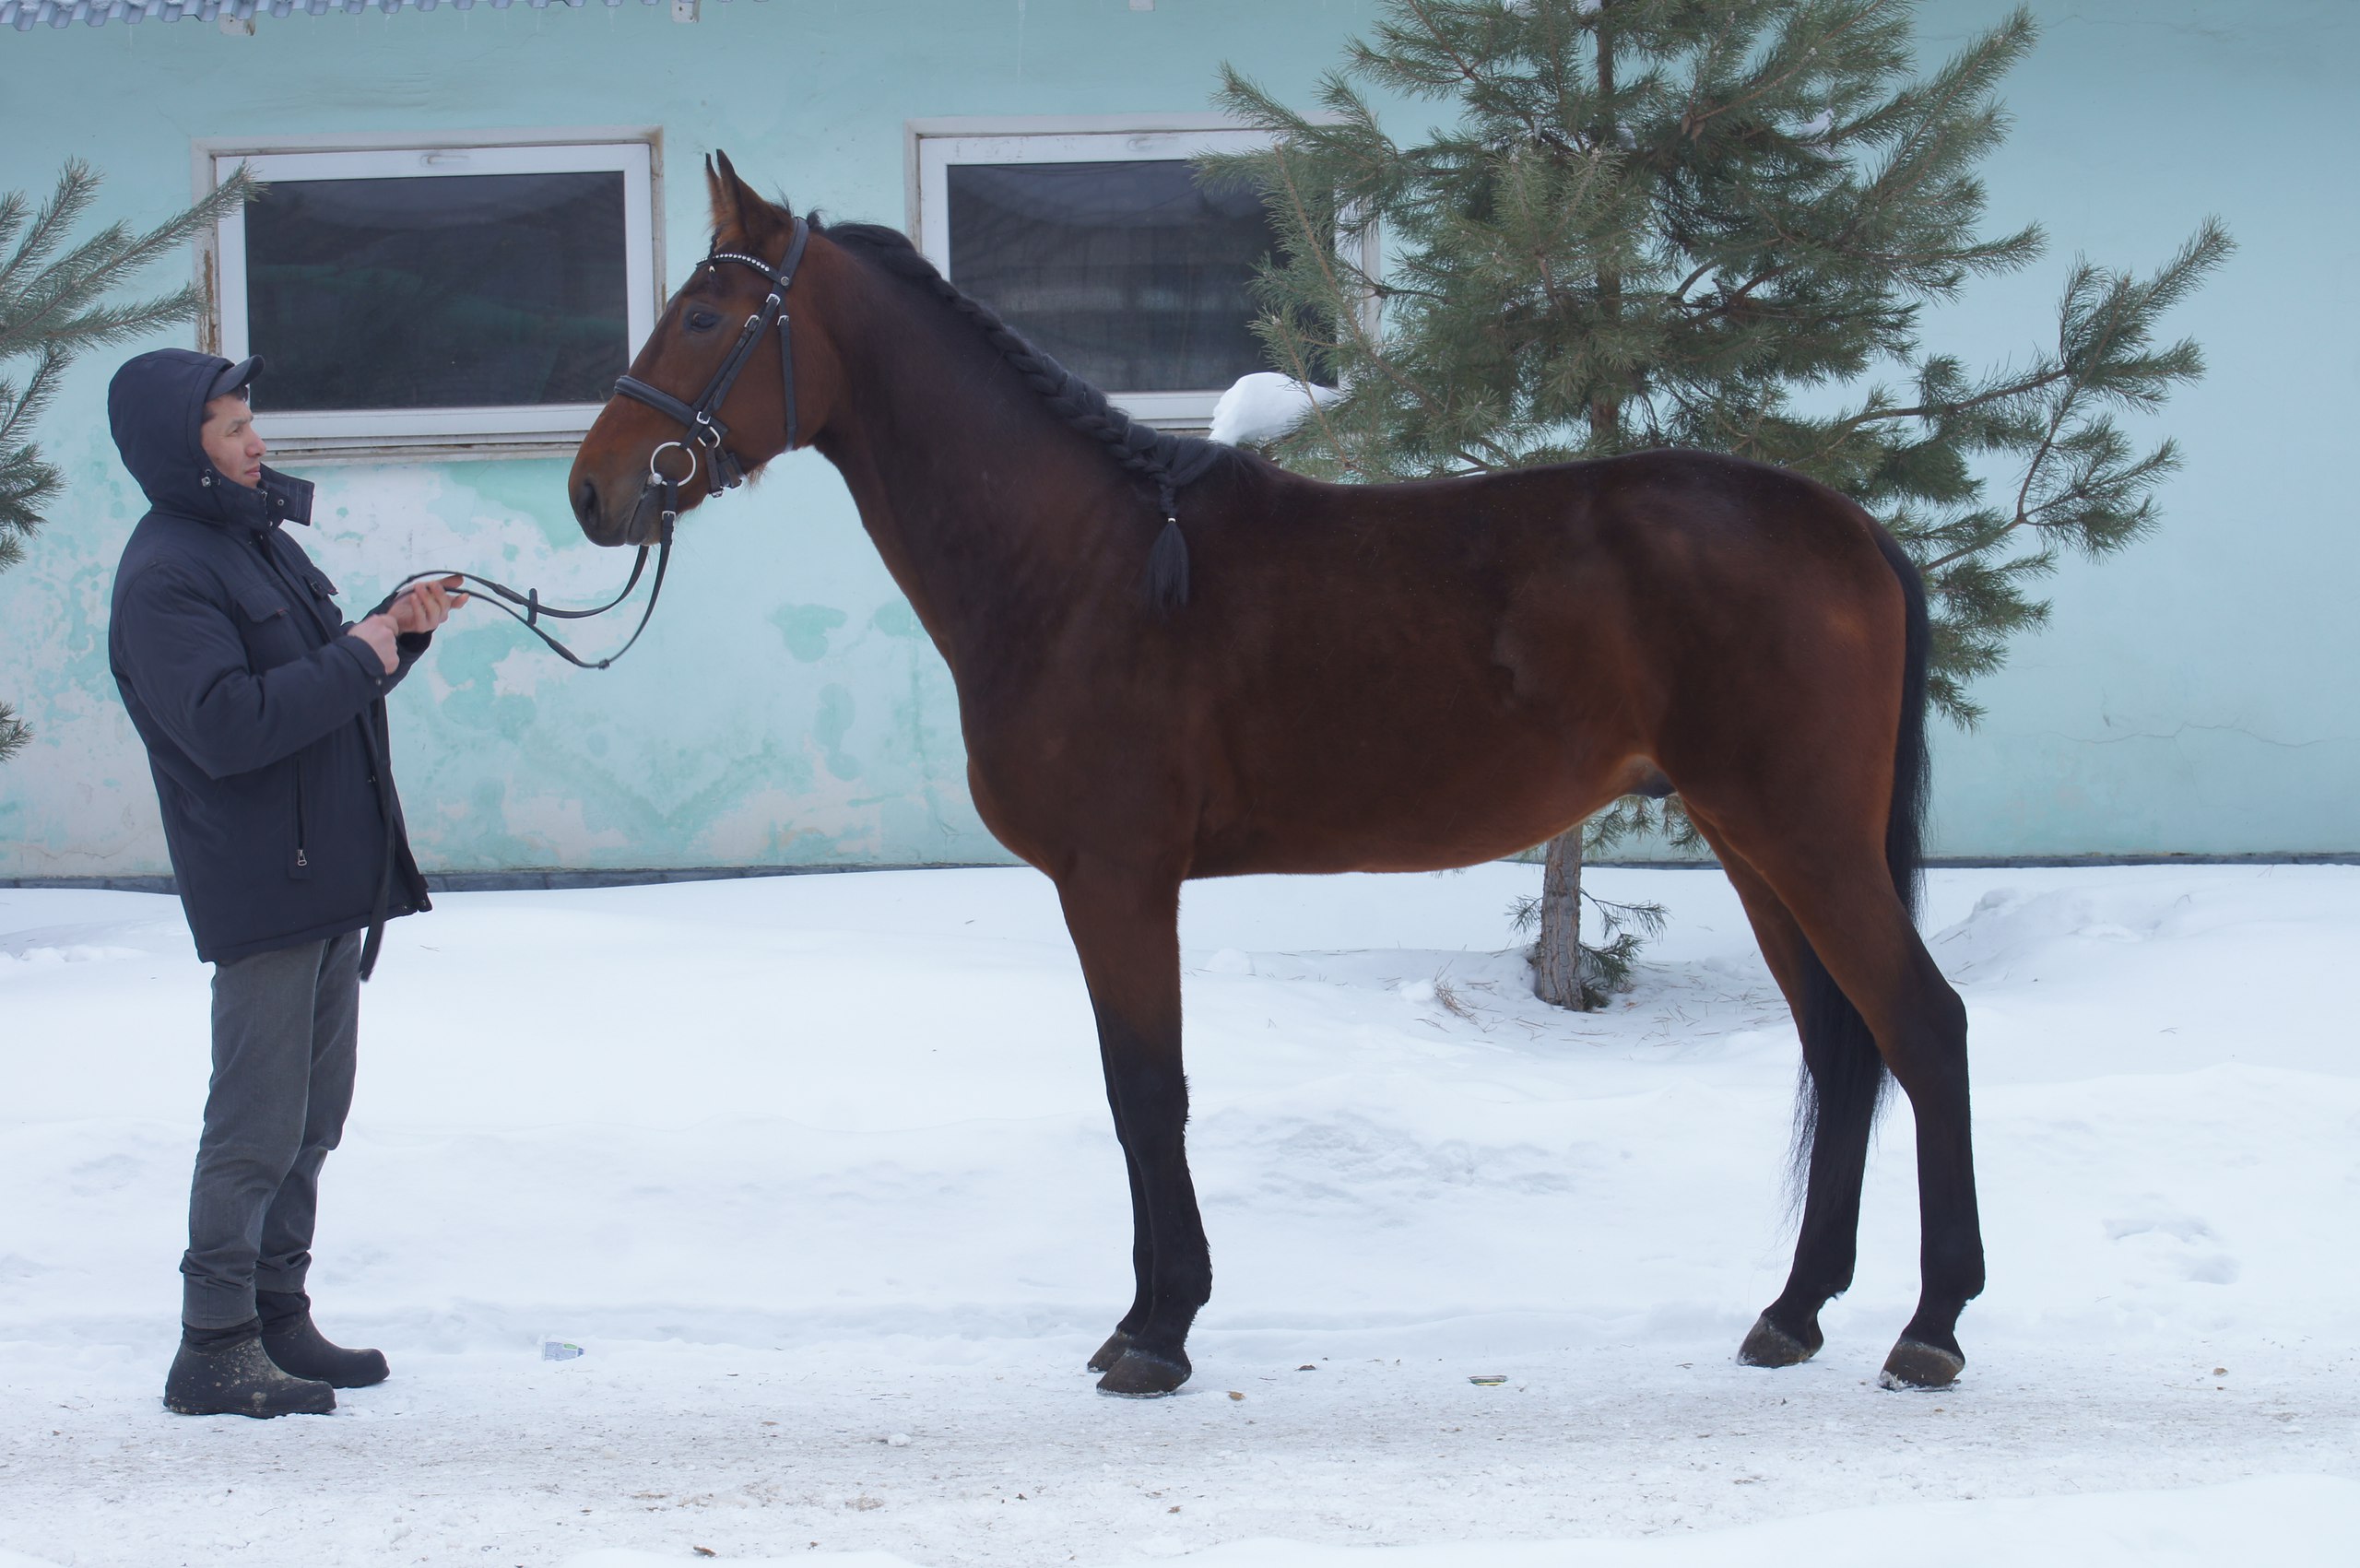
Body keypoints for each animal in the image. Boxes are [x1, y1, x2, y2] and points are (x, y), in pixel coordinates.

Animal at [566, 152, 1982, 1399]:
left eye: (704, 315)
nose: (593, 490)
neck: (1084, 563)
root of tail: (1851, 528)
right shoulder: (1113, 885)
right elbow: (1135, 1094)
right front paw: (1144, 1318)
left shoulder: (1118, 880)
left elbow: (1149, 1095)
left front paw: (1158, 1334)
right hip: (1757, 846)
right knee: (1841, 1045)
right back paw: (1793, 1312)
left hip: (1801, 837)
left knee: (1922, 1027)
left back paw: (1932, 1327)